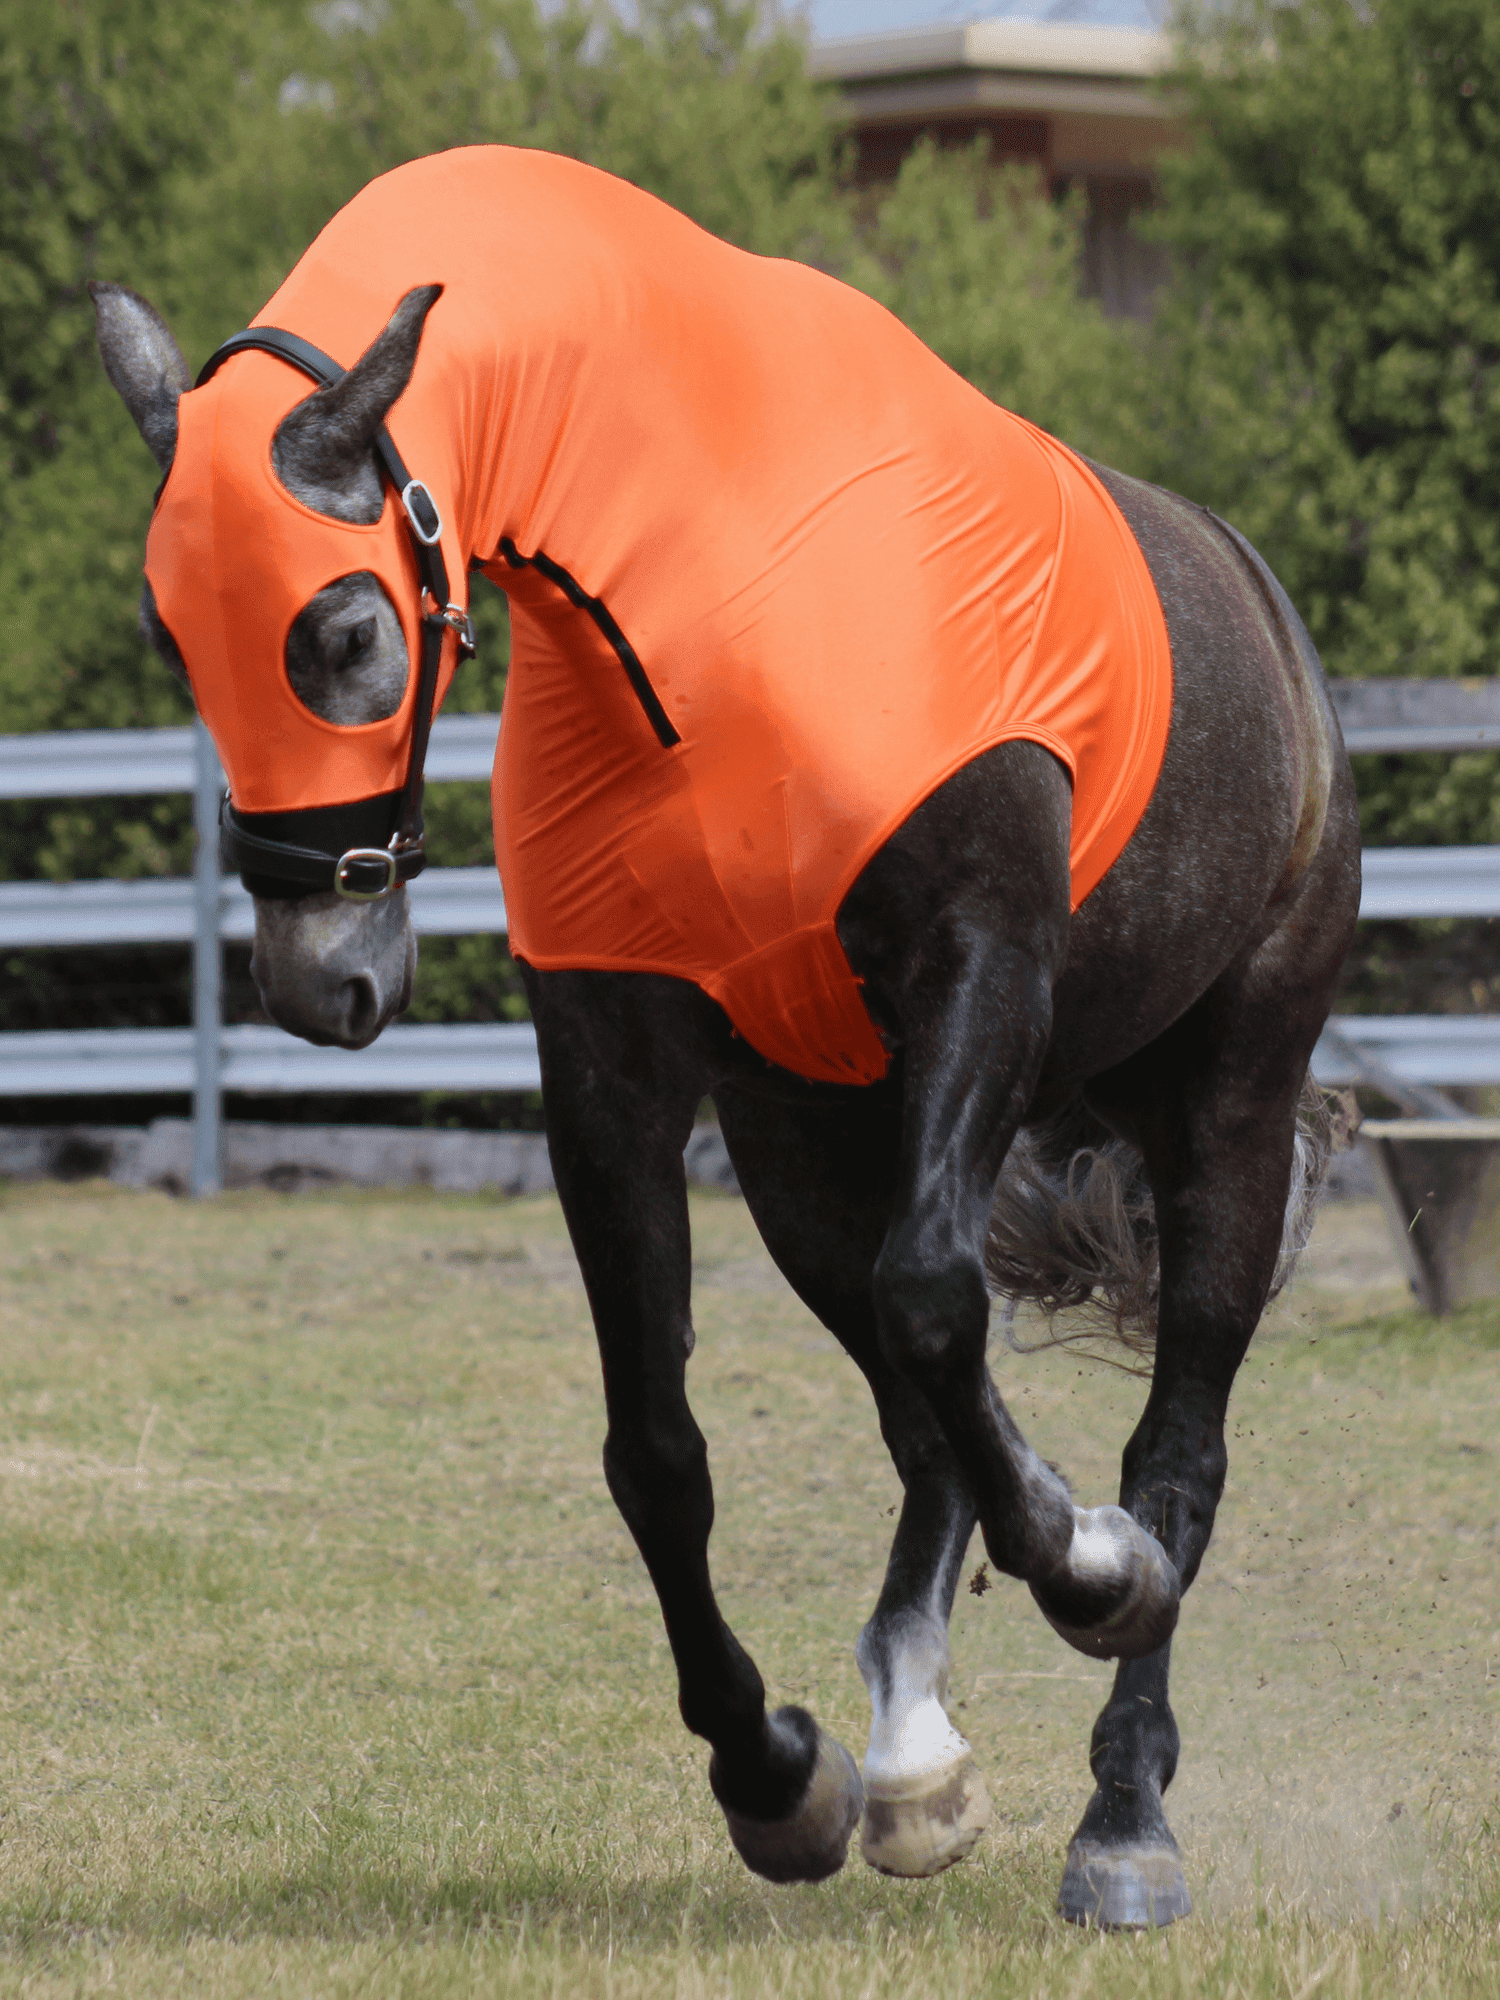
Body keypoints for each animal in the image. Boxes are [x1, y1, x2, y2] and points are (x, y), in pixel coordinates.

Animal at [91, 148, 1360, 1928]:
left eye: (342, 632)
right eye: (173, 638)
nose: (315, 981)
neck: (698, 580)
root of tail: (1273, 627)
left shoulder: (984, 972)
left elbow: (951, 1324)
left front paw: (1090, 1569)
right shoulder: (614, 1069)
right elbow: (660, 1448)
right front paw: (778, 1775)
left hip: (1223, 1118)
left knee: (1167, 1447)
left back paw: (1124, 1802)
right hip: (804, 1155)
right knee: (925, 1419)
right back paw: (913, 1761)